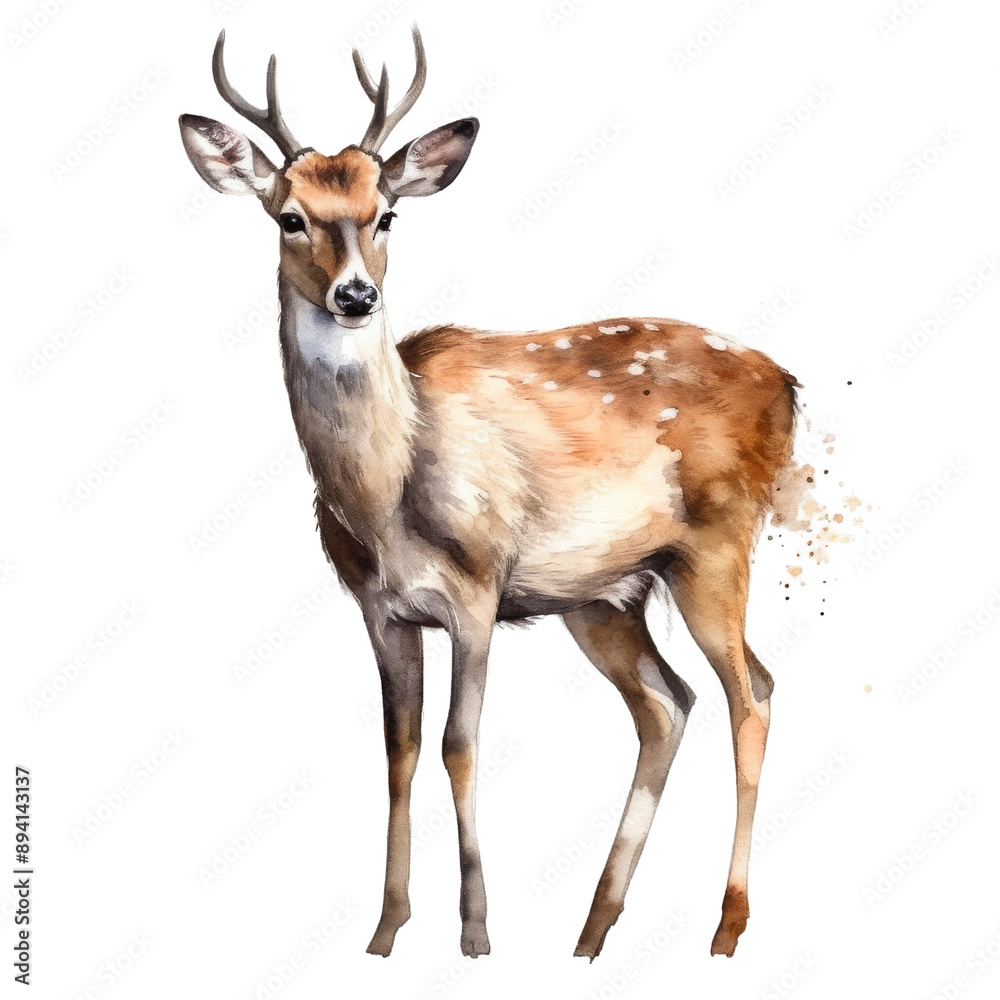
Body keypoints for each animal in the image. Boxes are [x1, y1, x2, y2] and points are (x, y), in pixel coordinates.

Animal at [179, 25, 800, 962]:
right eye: (290, 217)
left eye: (386, 214)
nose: (355, 295)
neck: (385, 499)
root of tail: (790, 387)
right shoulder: (380, 607)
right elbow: (398, 749)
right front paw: (385, 930)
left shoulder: (476, 588)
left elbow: (459, 744)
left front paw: (474, 930)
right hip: (605, 596)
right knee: (668, 702)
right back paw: (592, 929)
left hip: (716, 546)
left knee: (751, 691)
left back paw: (724, 927)